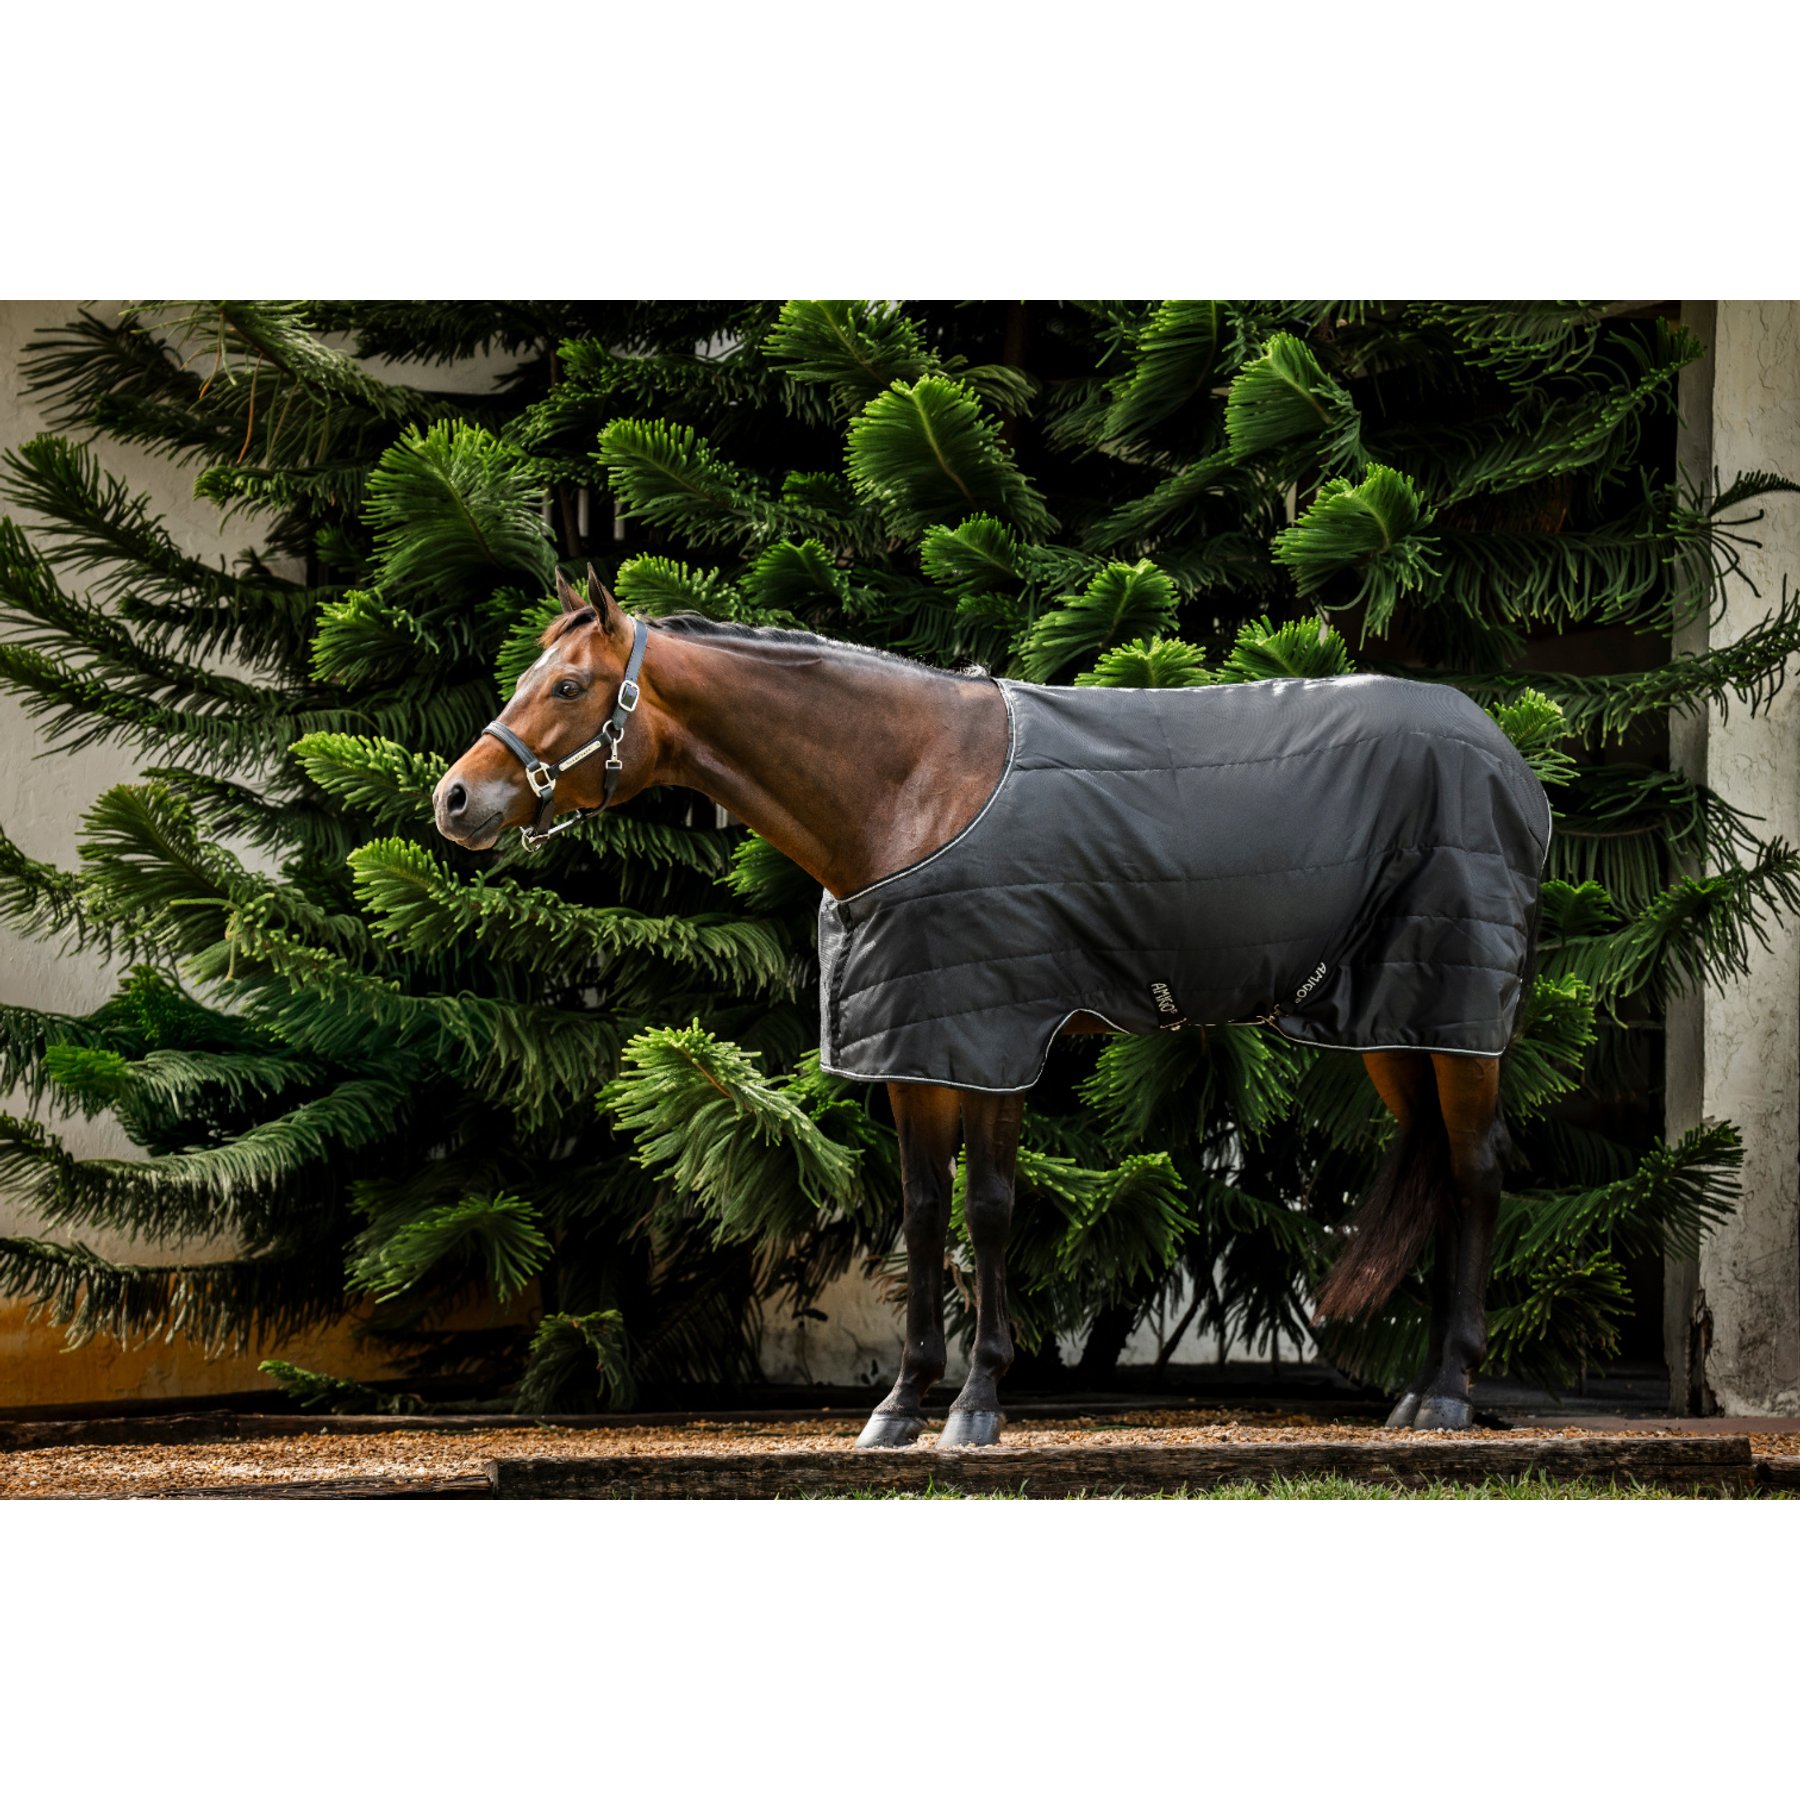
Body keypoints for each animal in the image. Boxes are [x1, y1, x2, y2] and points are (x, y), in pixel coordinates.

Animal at [433, 570, 1549, 1445]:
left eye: (569, 685)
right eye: (527, 679)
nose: (454, 801)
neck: (910, 789)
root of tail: (1509, 759)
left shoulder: (998, 1035)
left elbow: (992, 1209)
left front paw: (976, 1404)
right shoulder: (918, 1046)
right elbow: (925, 1213)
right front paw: (901, 1404)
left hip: (1457, 1017)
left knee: (1480, 1170)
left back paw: (1448, 1394)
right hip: (1398, 1026)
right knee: (1442, 1168)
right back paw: (1421, 1391)